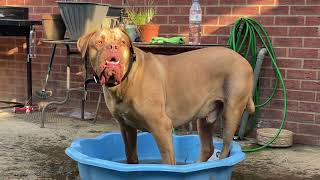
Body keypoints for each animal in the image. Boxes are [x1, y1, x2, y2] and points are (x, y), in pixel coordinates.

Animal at [77, 28, 255, 165]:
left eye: (122, 43)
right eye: (99, 43)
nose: (112, 47)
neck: (125, 82)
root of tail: (243, 59)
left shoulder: (161, 126)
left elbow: (168, 162)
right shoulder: (126, 127)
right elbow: (131, 156)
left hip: (231, 112)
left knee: (225, 149)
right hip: (204, 117)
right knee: (208, 147)